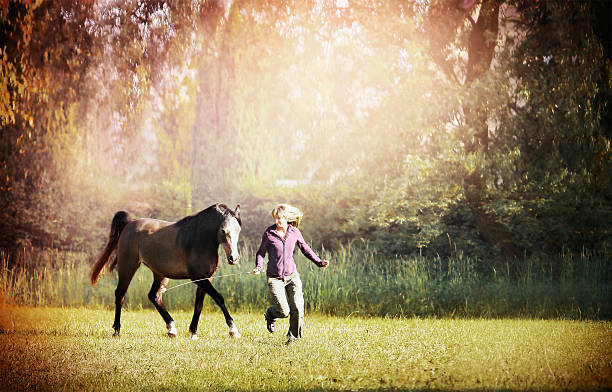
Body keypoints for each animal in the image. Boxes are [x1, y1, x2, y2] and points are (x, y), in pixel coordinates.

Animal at [90, 204, 241, 338]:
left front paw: (193, 332)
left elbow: (199, 305)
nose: (233, 258)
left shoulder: (206, 278)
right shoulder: (198, 277)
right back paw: (117, 330)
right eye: (223, 230)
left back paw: (171, 329)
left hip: (159, 274)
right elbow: (219, 298)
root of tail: (129, 223)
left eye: (238, 230)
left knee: (154, 296)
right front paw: (233, 330)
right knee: (120, 295)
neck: (199, 239)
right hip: (128, 267)